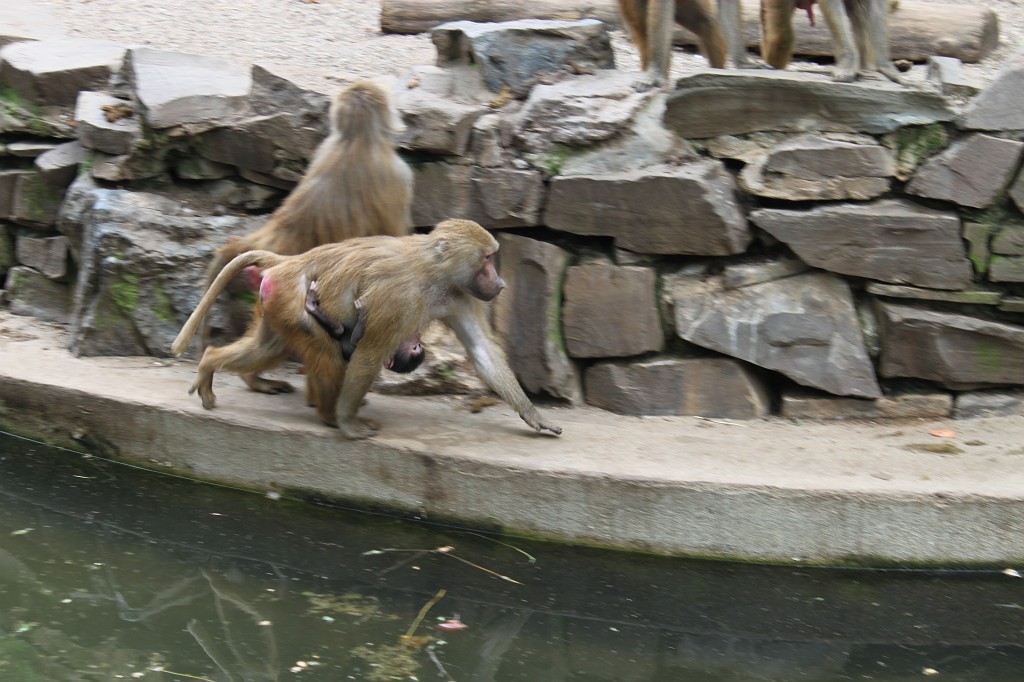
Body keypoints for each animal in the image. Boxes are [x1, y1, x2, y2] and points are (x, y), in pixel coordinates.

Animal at [172, 219, 563, 440]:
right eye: (487, 260)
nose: (501, 284)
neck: (432, 273)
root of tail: (291, 261)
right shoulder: (399, 300)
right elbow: (369, 354)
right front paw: (348, 425)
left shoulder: (459, 294)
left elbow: (482, 351)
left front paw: (535, 417)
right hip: (291, 299)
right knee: (328, 355)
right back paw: (331, 417)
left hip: (276, 303)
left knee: (269, 348)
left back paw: (211, 364)